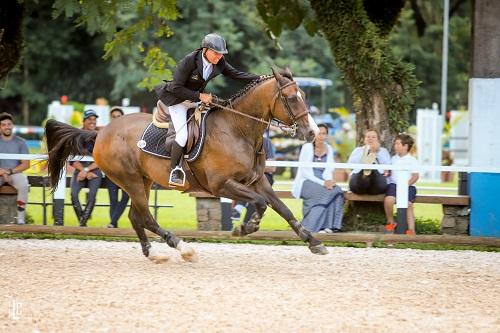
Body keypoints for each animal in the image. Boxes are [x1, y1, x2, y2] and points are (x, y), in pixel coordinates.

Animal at [45, 67, 328, 260]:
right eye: (291, 98)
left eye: (303, 95)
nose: (312, 133)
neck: (238, 129)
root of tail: (101, 132)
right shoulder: (221, 185)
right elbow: (259, 204)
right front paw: (244, 228)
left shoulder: (256, 181)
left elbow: (283, 208)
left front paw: (313, 242)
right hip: (130, 180)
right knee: (146, 217)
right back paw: (181, 246)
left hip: (143, 181)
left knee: (136, 217)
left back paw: (153, 253)